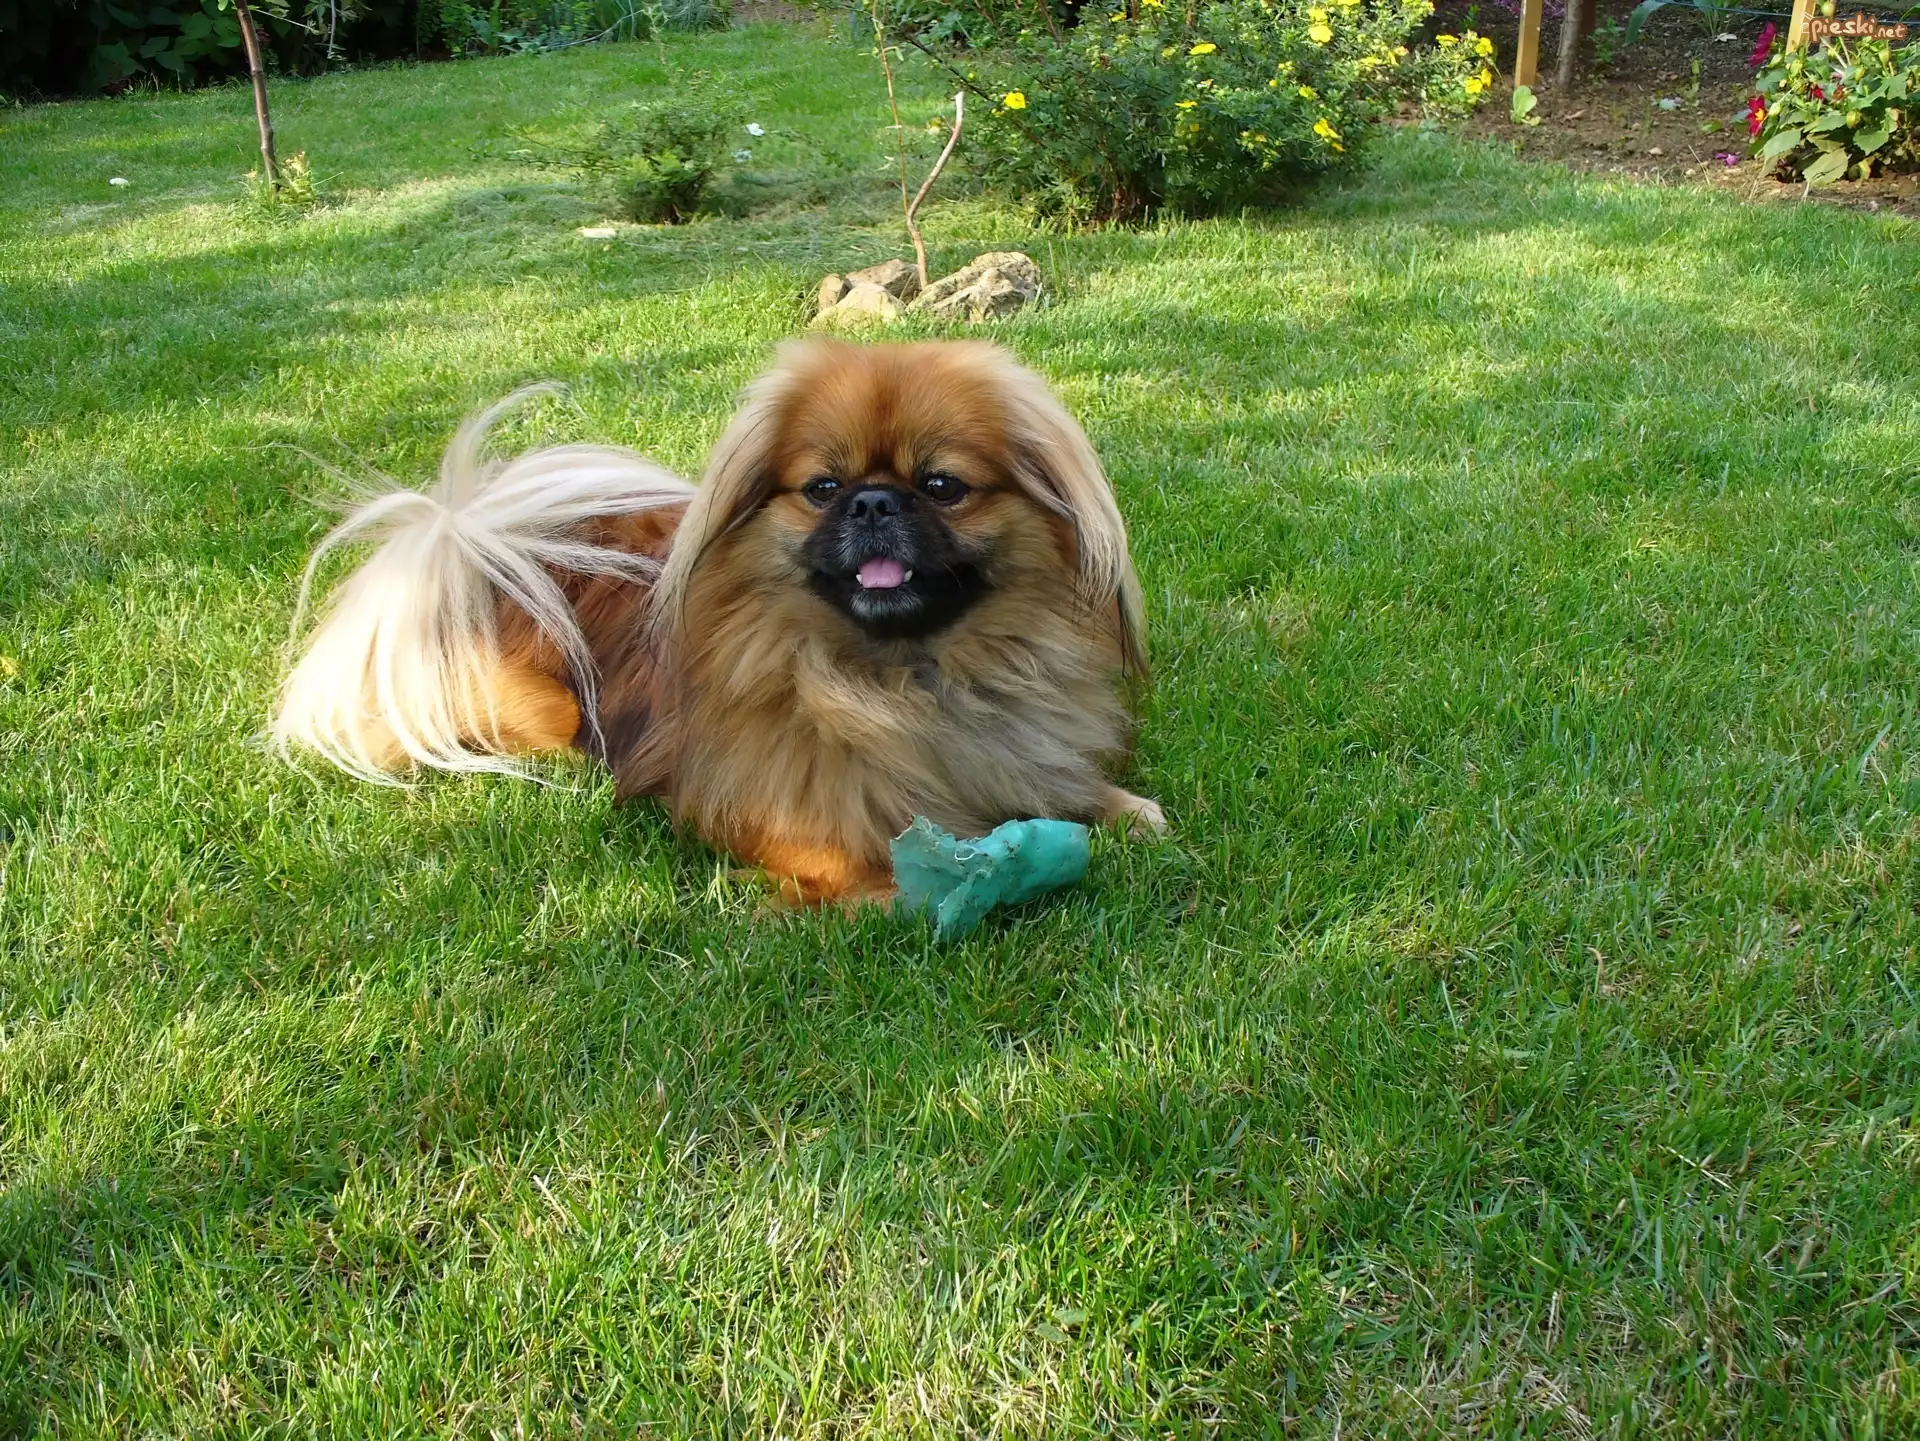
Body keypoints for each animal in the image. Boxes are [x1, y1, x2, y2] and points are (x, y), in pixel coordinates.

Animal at [273, 338, 1164, 903]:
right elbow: (859, 862)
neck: (903, 679)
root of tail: (472, 553)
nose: (874, 501)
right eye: (823, 487)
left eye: (943, 486)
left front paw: (1128, 813)